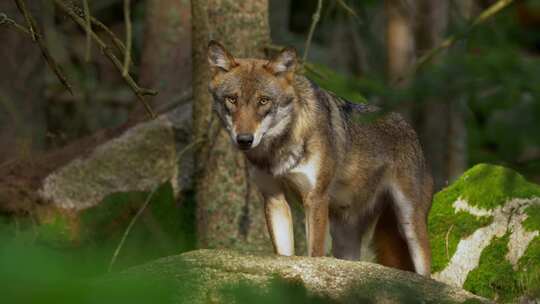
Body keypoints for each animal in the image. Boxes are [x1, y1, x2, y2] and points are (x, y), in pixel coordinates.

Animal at [207, 40, 434, 276]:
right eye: (232, 99)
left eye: (263, 101)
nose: (244, 139)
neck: (278, 149)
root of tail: (408, 127)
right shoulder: (274, 199)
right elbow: (284, 255)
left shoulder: (315, 199)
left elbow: (314, 255)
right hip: (346, 241)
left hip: (410, 224)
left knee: (427, 272)